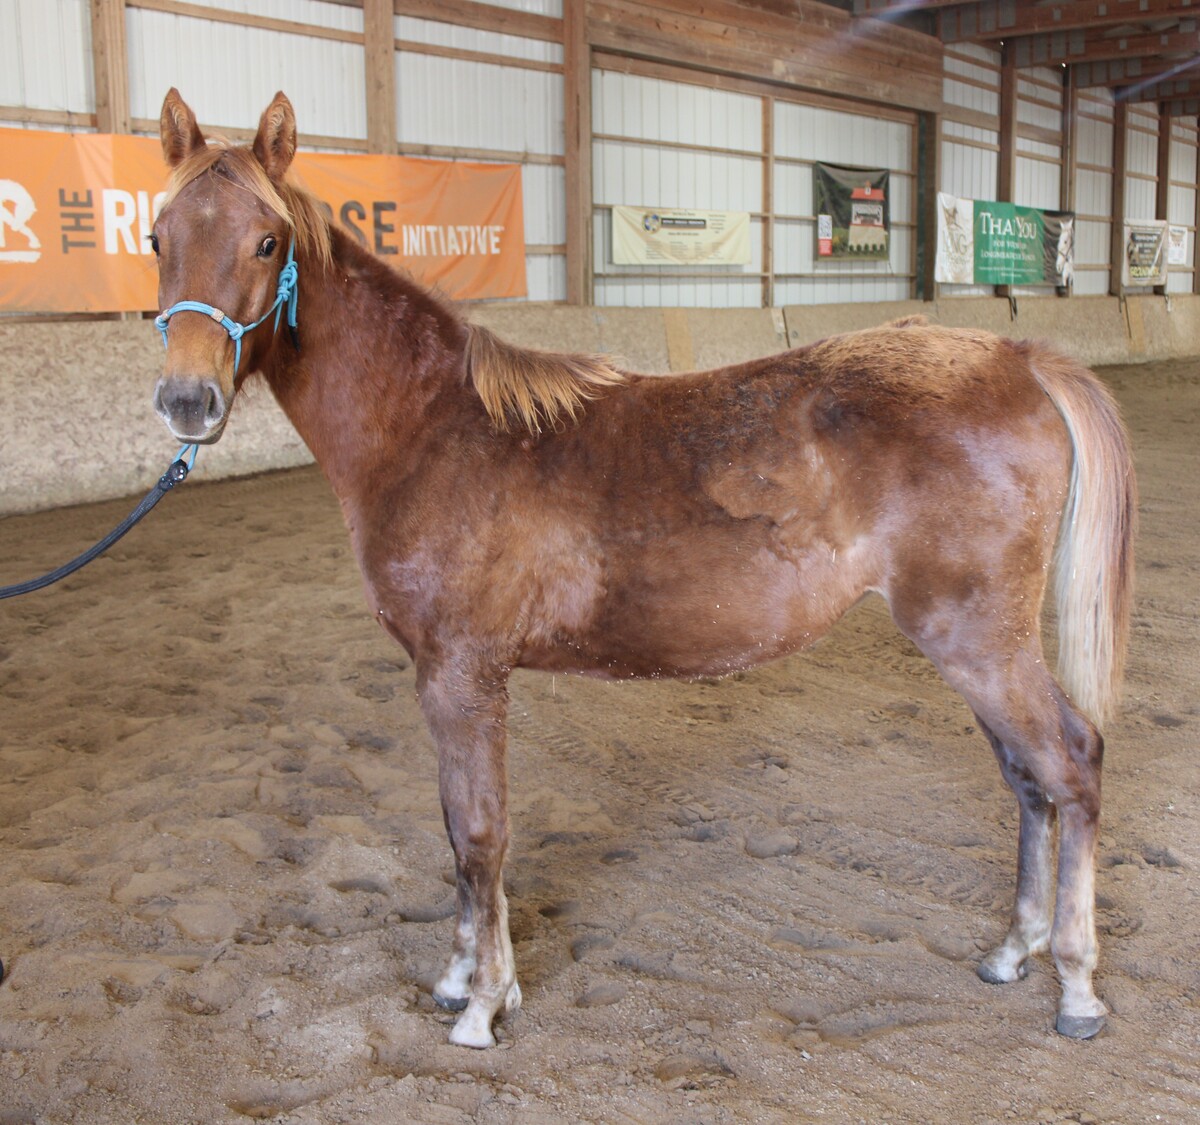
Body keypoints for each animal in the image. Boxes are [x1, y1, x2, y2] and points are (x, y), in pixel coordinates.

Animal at [150, 89, 1136, 1050]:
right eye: (158, 236)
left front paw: (484, 1003)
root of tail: (1018, 357)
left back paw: (1078, 987)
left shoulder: (462, 677)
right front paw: (461, 976)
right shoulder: (442, 679)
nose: (187, 400)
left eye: (267, 241)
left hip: (977, 639)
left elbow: (480, 834)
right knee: (1028, 778)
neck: (435, 428)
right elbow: (457, 830)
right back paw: (1013, 948)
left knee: (1072, 762)